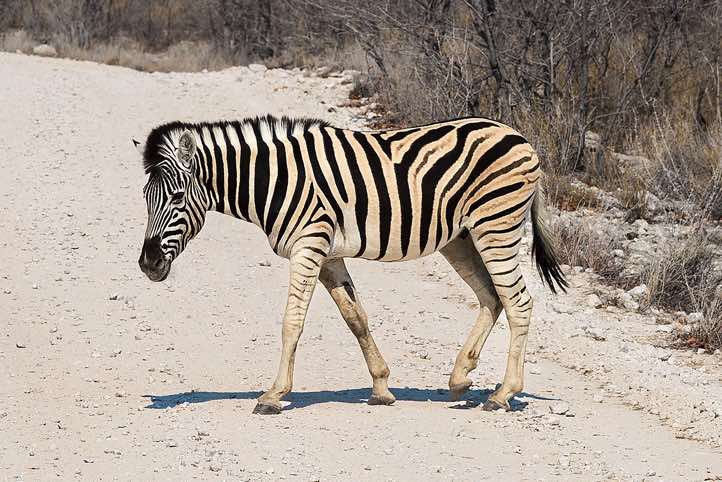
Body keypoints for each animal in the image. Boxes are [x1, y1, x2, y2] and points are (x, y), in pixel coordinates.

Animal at [136, 115, 567, 414]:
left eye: (176, 197)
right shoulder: (329, 255)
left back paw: (503, 394)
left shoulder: (309, 246)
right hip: (460, 238)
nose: (148, 264)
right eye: (146, 196)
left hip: (496, 227)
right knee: (492, 296)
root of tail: (521, 138)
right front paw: (381, 387)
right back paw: (461, 378)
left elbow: (292, 322)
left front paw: (274, 395)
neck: (274, 181)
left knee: (518, 302)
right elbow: (355, 317)